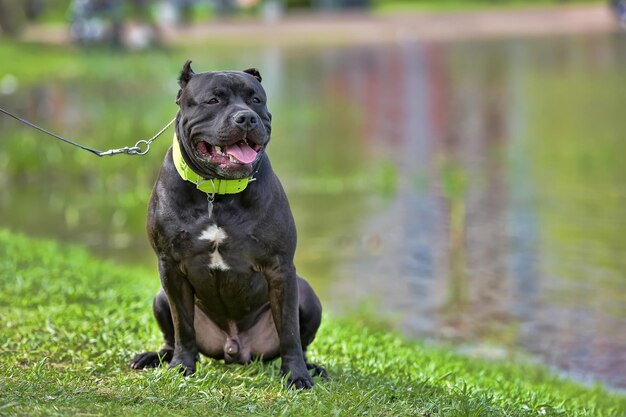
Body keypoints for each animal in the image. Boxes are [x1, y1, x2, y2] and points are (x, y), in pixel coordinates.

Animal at [132, 60, 326, 388]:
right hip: (160, 296)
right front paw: (182, 366)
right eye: (213, 100)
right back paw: (155, 357)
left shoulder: (280, 267)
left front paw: (296, 375)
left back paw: (311, 367)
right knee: (172, 336)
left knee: (301, 338)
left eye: (255, 100)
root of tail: (234, 349)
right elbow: (183, 326)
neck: (217, 192)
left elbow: (289, 331)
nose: (246, 117)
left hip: (309, 296)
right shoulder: (169, 266)